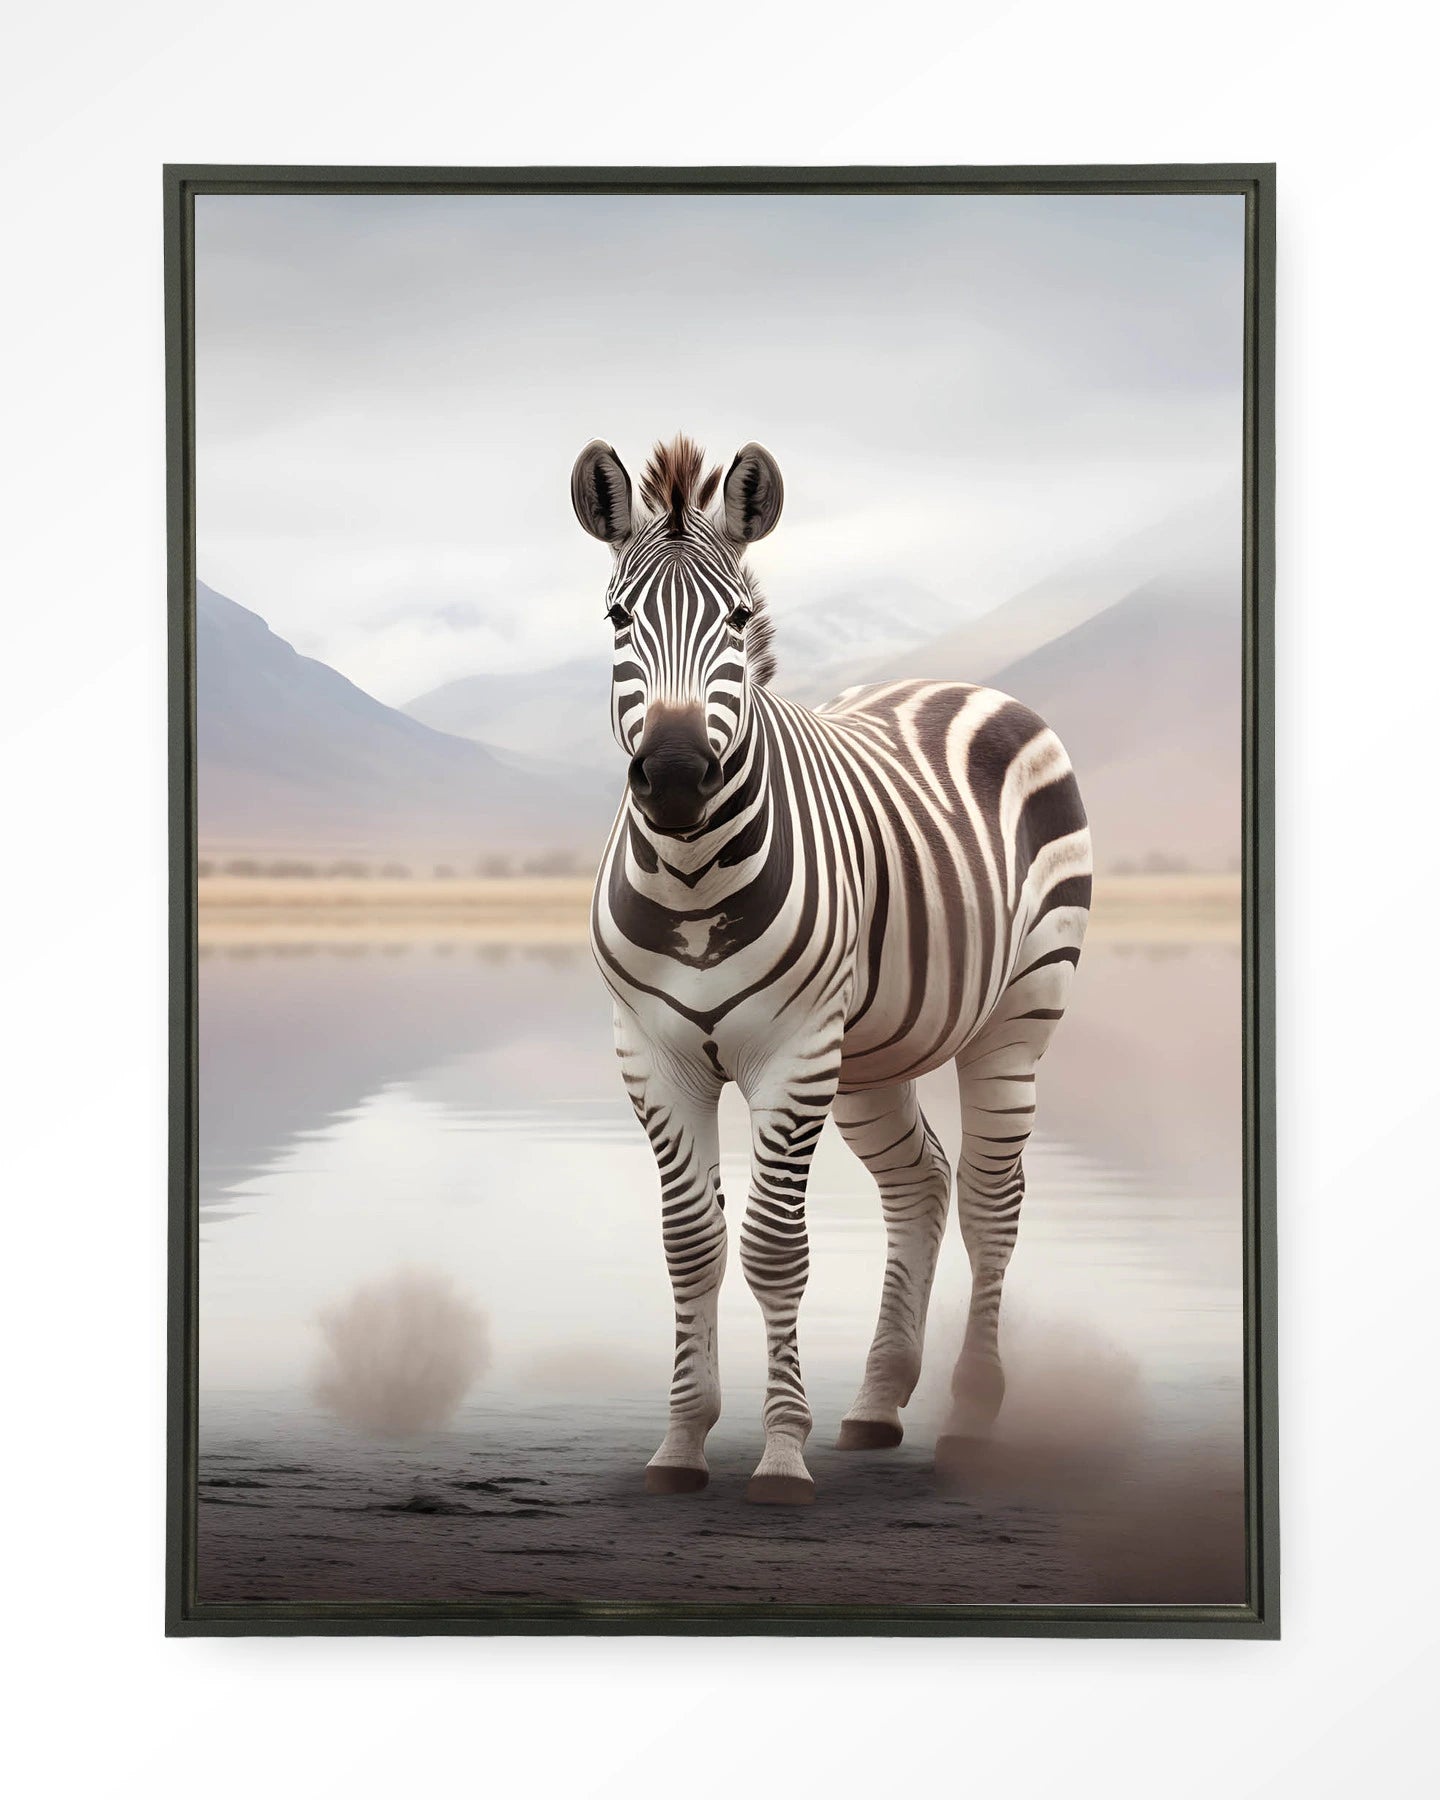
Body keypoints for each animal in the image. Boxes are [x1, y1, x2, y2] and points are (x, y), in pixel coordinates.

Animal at [572, 434, 1092, 1505]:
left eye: (737, 619)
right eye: (616, 619)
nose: (675, 777)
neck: (691, 877)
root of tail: (962, 683)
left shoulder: (792, 1051)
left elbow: (774, 1249)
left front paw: (779, 1455)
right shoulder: (652, 1055)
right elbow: (690, 1247)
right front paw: (681, 1443)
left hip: (1018, 1015)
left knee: (991, 1201)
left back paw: (968, 1419)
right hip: (872, 1057)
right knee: (921, 1185)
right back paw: (879, 1403)